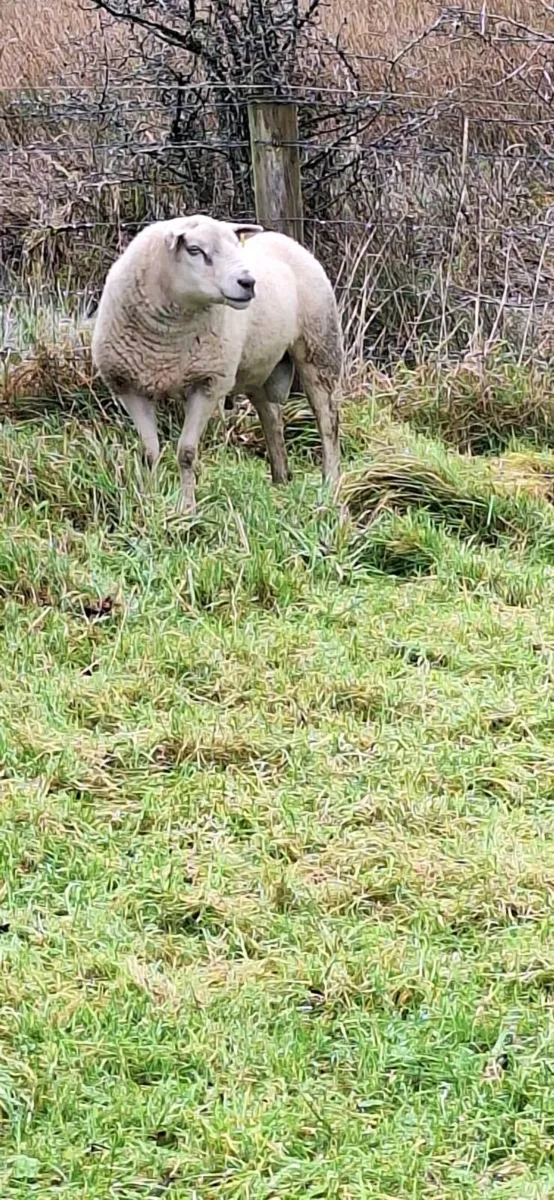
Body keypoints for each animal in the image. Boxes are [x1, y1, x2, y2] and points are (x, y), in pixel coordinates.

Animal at [92, 214, 342, 513]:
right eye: (194, 250)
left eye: (236, 246)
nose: (248, 282)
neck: (166, 343)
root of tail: (282, 237)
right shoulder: (129, 387)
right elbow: (150, 453)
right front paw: (150, 504)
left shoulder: (208, 383)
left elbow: (186, 452)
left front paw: (187, 509)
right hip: (257, 368)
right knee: (272, 420)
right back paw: (280, 480)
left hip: (319, 349)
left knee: (327, 422)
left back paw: (330, 487)